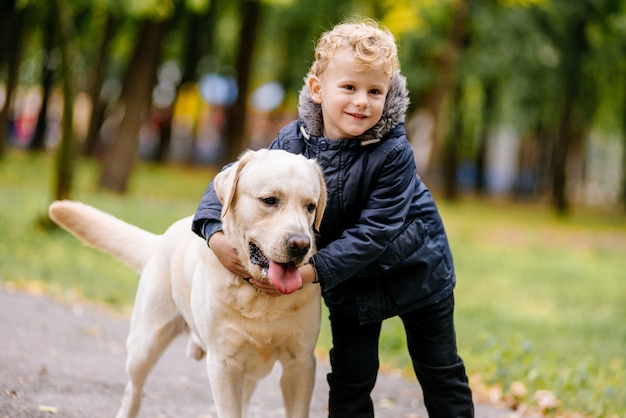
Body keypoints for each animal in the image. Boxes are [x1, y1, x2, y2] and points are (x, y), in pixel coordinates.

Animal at [50, 149, 326, 416]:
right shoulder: (224, 364)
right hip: (144, 344)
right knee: (134, 389)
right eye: (270, 200)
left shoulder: (300, 362)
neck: (260, 296)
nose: (301, 244)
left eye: (310, 206)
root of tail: (162, 238)